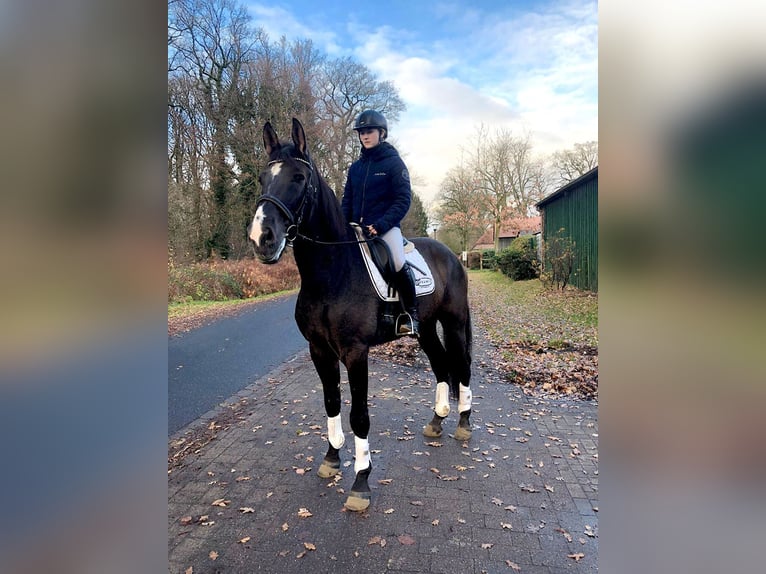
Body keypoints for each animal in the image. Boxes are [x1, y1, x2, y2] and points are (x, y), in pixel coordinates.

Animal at [249, 118, 474, 512]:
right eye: (263, 177)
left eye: (298, 178)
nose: (262, 238)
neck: (332, 273)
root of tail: (450, 254)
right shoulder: (319, 351)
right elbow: (331, 403)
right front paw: (331, 459)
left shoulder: (355, 353)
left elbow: (359, 415)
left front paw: (361, 481)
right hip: (426, 328)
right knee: (440, 364)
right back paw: (437, 421)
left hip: (454, 323)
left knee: (460, 365)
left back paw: (463, 422)